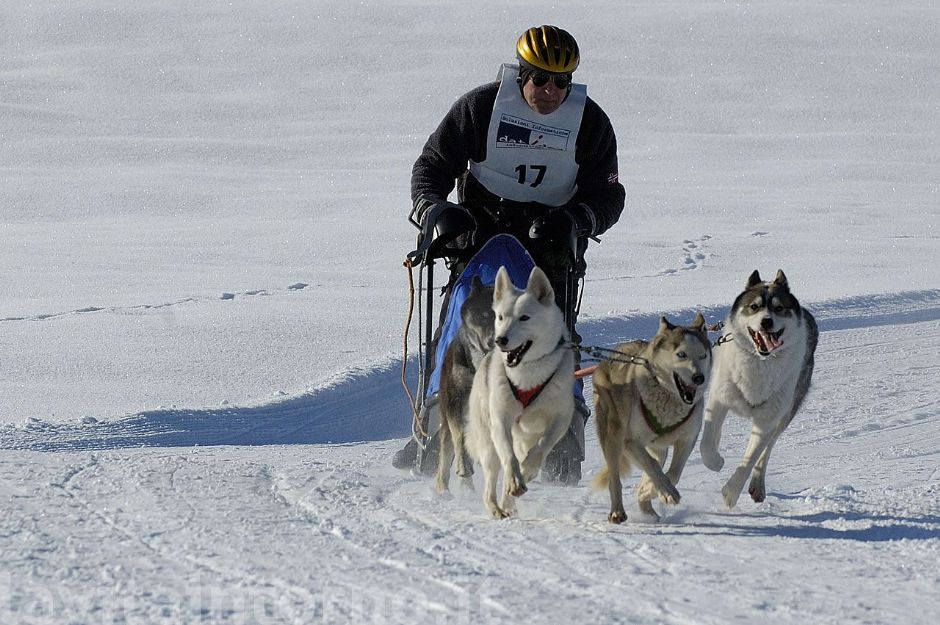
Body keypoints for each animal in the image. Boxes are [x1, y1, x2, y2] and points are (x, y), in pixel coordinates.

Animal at [436, 276, 496, 494]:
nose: (494, 340)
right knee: (445, 457)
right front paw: (464, 468)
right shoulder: (456, 402)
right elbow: (460, 438)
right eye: (484, 316)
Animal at [466, 264, 576, 516]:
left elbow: (541, 447)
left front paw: (527, 470)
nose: (499, 340)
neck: (528, 374)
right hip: (488, 444)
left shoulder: (560, 419)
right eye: (500, 317)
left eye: (524, 317)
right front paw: (514, 480)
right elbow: (509, 456)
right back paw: (497, 507)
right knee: (490, 482)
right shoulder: (501, 421)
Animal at [592, 312, 716, 520]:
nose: (699, 378)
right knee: (616, 478)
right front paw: (666, 491)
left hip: (659, 448)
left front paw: (655, 491)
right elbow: (652, 466)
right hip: (614, 437)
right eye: (681, 354)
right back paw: (617, 511)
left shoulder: (686, 440)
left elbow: (673, 474)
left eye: (703, 355)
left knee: (653, 468)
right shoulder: (630, 442)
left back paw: (646, 505)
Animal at [700, 268, 820, 508]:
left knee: (767, 449)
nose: (766, 322)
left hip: (785, 413)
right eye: (754, 307)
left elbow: (751, 458)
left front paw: (731, 493)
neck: (760, 361)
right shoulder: (719, 398)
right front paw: (715, 461)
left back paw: (757, 485)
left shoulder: (767, 420)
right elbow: (706, 444)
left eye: (779, 308)